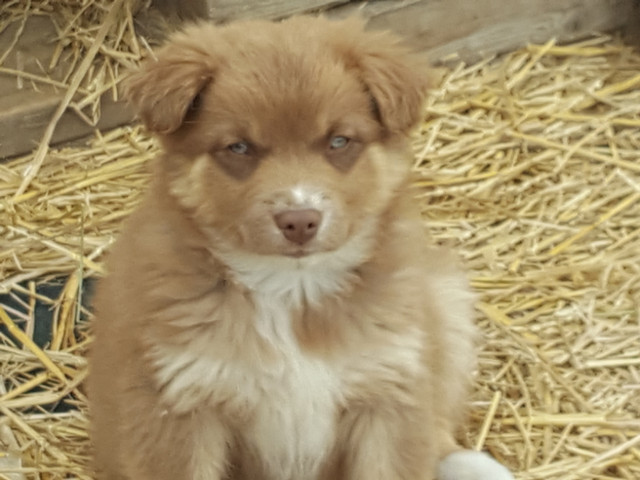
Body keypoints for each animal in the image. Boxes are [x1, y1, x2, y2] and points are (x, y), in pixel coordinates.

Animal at [86, 15, 516, 480]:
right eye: (239, 147)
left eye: (339, 141)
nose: (299, 221)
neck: (292, 291)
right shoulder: (179, 404)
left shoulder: (390, 389)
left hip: (444, 308)